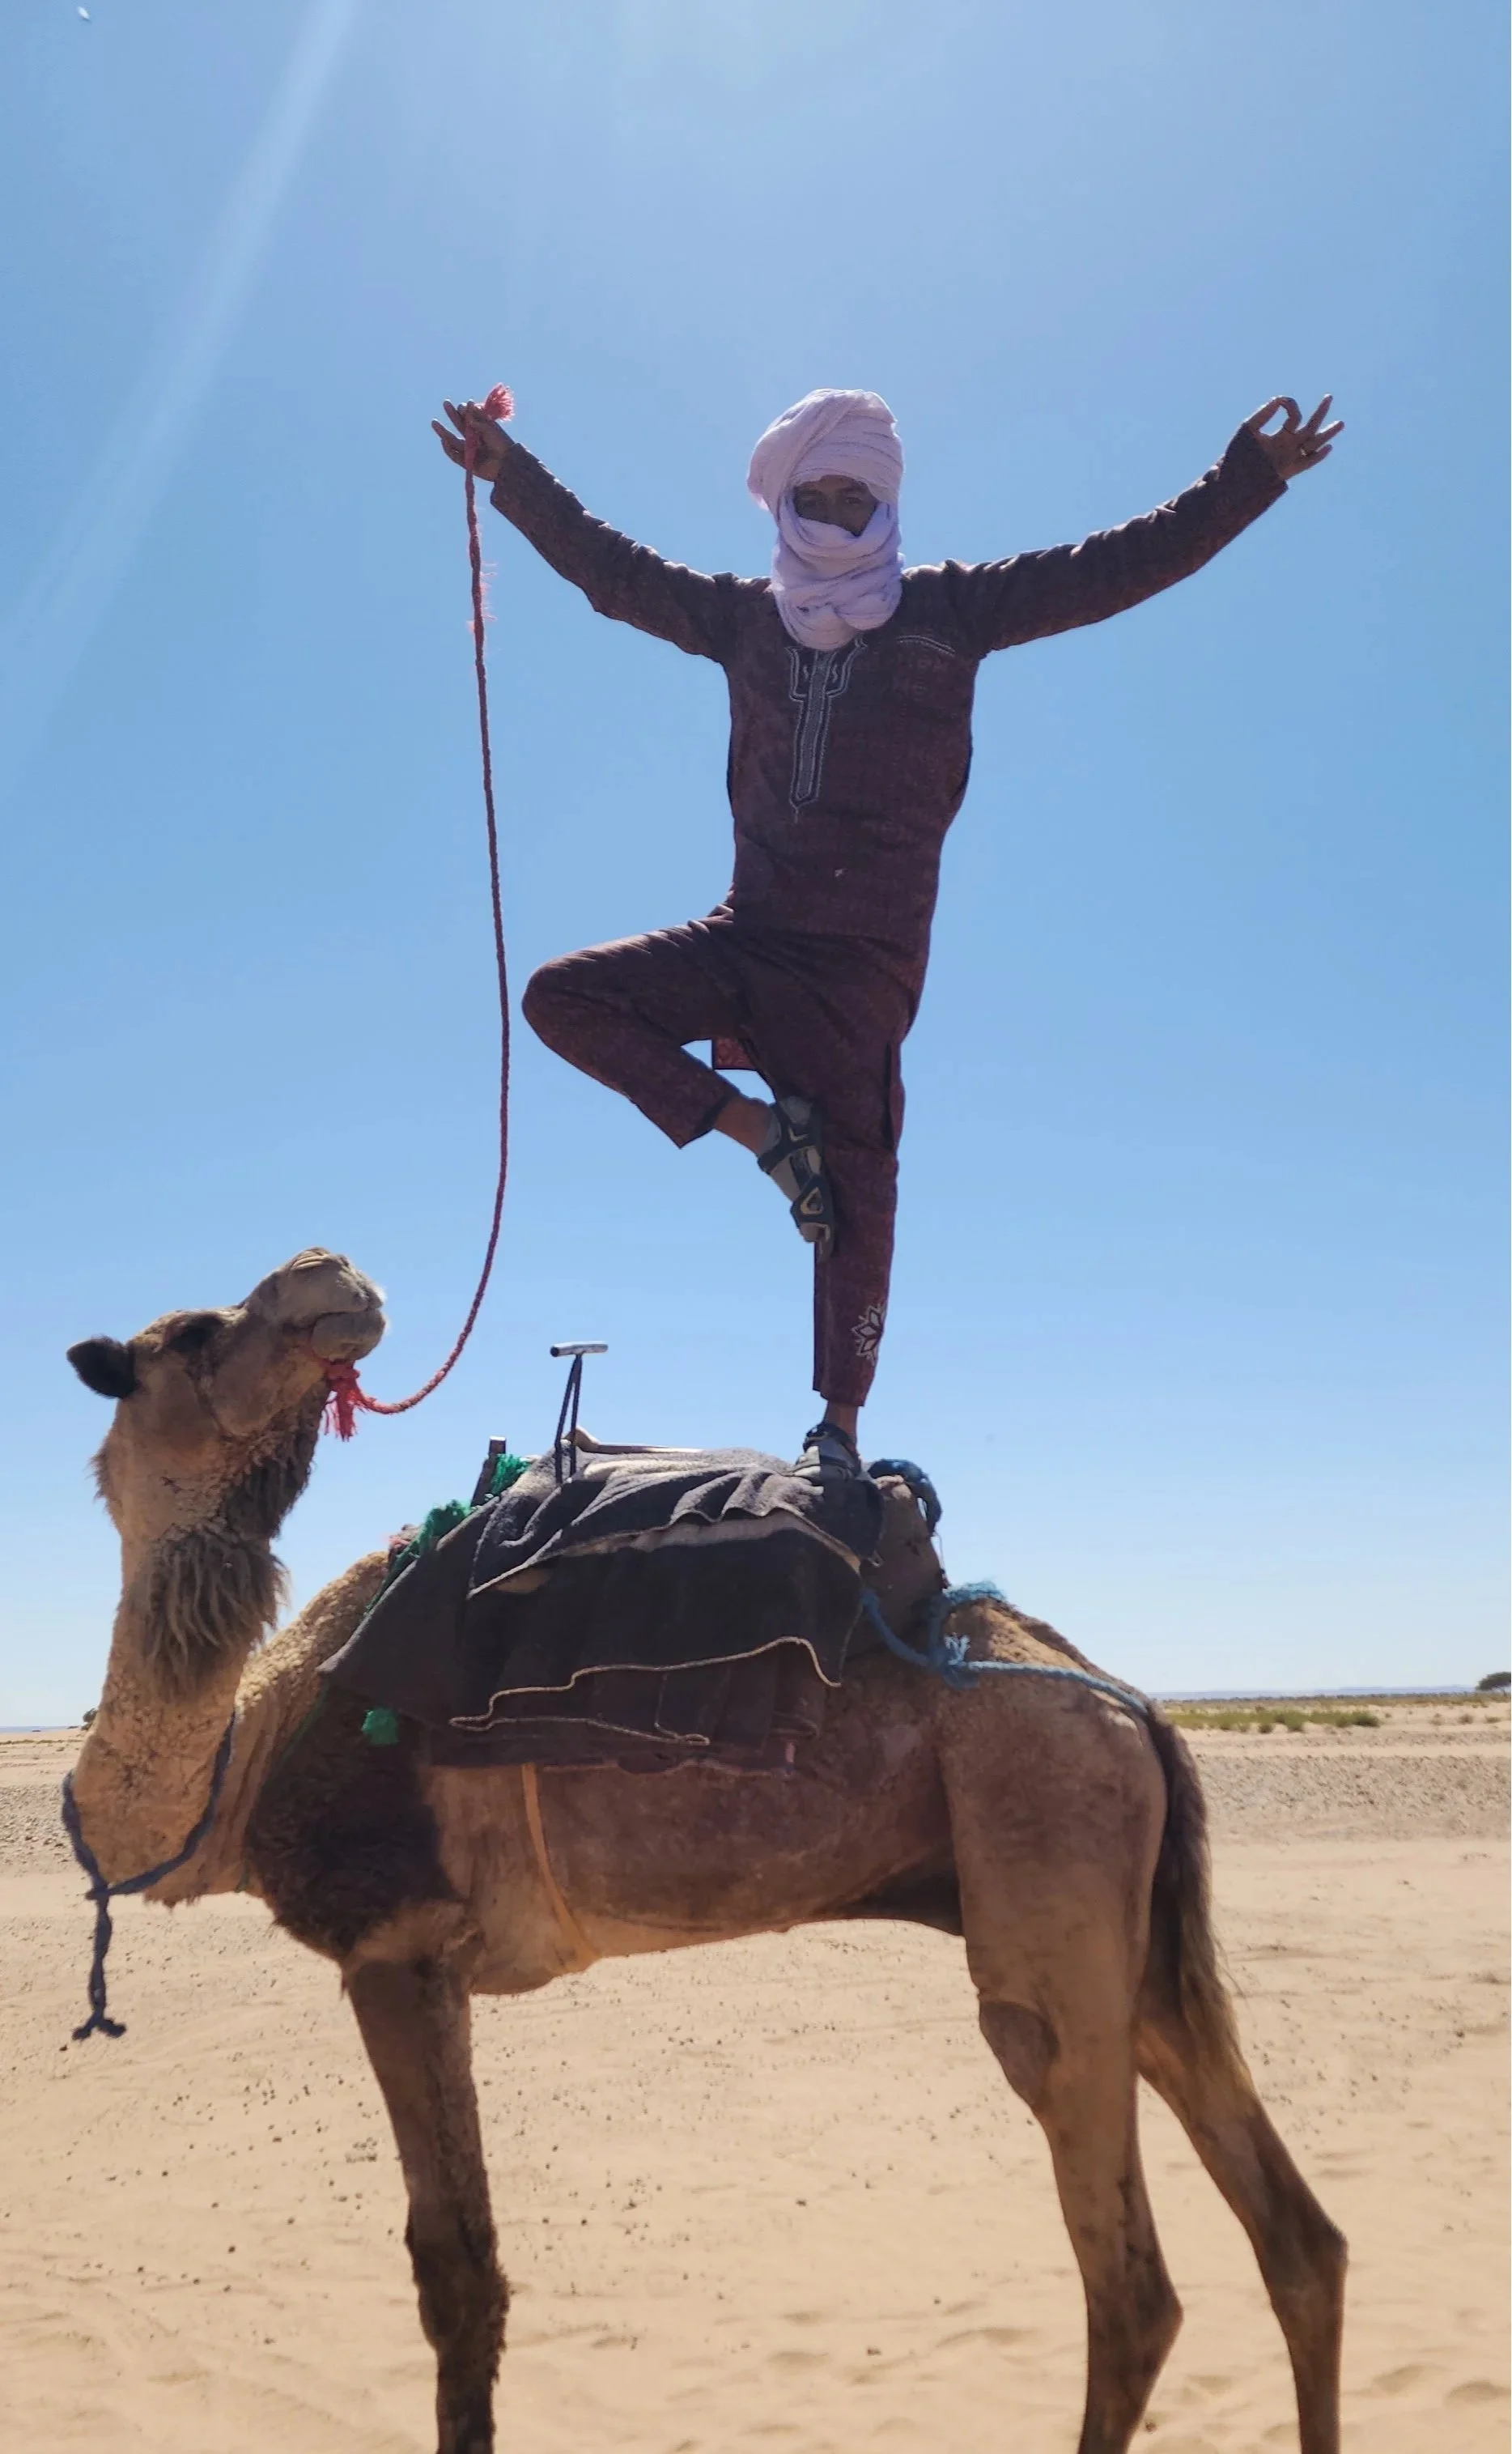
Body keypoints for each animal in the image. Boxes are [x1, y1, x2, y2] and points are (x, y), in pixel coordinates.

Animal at [65, 1247, 1345, 2454]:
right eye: (195, 1332)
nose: (334, 1278)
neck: (252, 1757)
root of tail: (1136, 1707)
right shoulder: (421, 1962)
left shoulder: (397, 1947)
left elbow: (456, 2275)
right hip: (1132, 1920)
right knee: (1301, 2239)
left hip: (1047, 1843)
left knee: (1128, 2278)